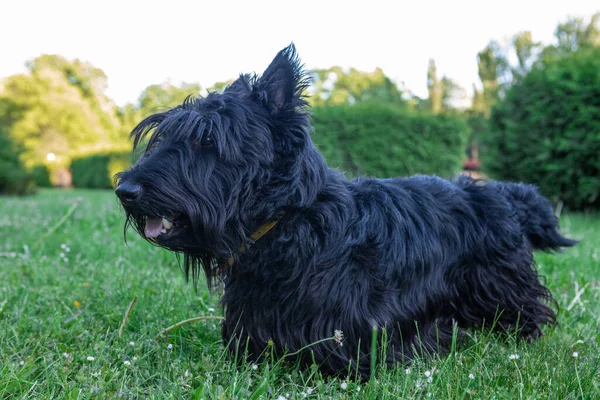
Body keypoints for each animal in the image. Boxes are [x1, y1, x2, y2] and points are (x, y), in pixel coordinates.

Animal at [115, 44, 580, 378]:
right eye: (163, 135)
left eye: (209, 141)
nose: (125, 189)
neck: (291, 220)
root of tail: (501, 192)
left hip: (500, 289)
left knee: (527, 313)